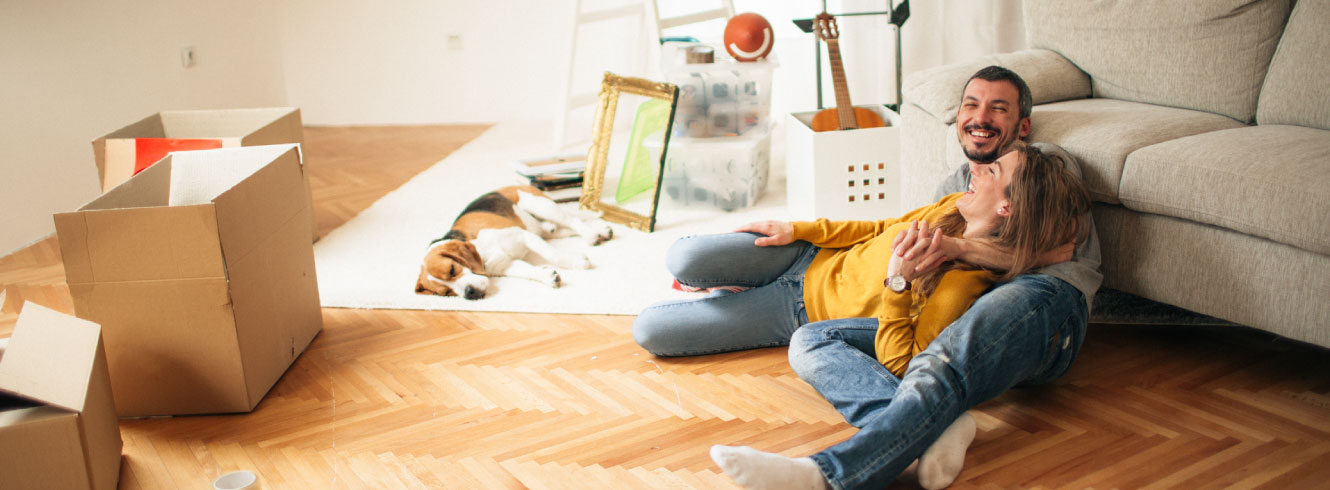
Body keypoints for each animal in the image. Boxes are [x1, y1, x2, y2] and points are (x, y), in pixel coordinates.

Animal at [414, 183, 611, 298]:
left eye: (452, 270)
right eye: (447, 293)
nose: (469, 294)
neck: (482, 251)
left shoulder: (524, 236)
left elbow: (553, 255)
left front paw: (575, 261)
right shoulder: (506, 265)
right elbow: (528, 271)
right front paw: (547, 276)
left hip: (542, 206)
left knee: (572, 220)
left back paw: (591, 234)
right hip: (545, 229)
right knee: (562, 228)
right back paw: (602, 231)